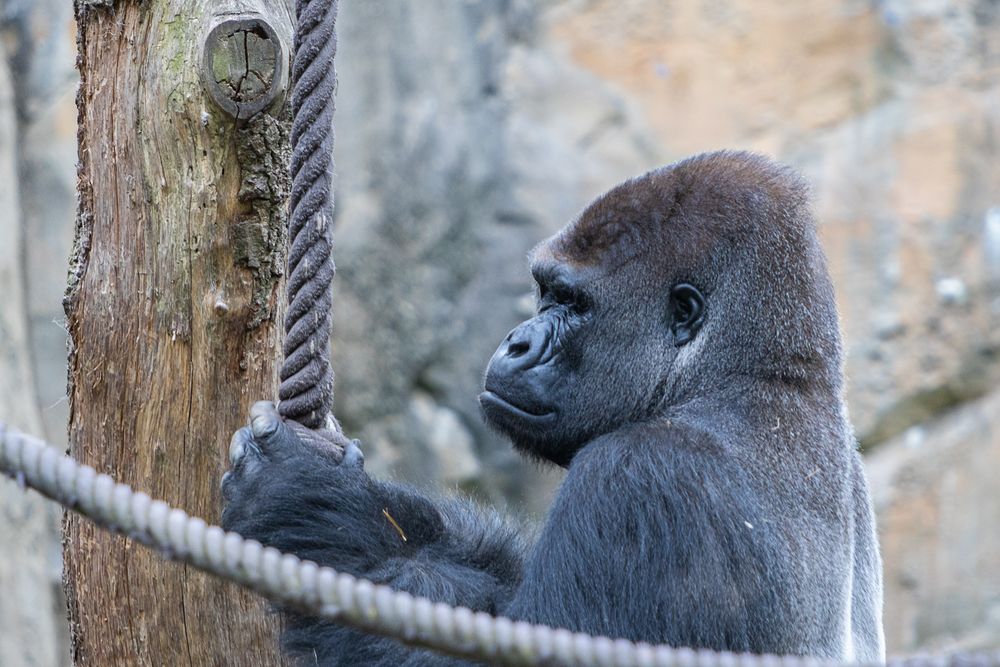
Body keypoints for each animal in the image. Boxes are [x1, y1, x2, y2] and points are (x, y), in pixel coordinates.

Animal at [223, 153, 888, 667]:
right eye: (545, 291)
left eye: (571, 300)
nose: (516, 341)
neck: (757, 379)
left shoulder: (641, 477)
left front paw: (306, 500)